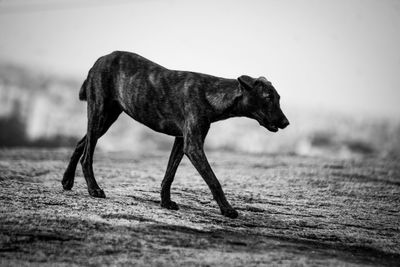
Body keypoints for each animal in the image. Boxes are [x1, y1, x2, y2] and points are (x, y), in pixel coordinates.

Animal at [61, 51, 290, 219]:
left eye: (278, 97)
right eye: (268, 97)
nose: (286, 123)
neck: (211, 94)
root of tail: (100, 59)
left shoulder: (181, 141)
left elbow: (169, 175)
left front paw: (165, 202)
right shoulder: (193, 146)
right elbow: (213, 180)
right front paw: (227, 210)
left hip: (106, 118)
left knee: (81, 144)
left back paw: (67, 181)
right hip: (99, 112)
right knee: (87, 155)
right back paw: (93, 189)